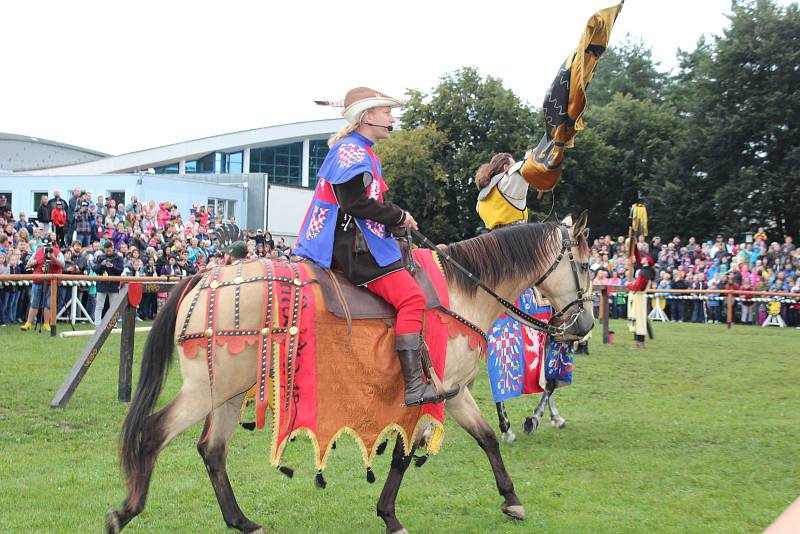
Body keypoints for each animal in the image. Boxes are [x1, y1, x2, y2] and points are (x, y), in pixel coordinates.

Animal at [108, 214, 592, 534]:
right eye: (586, 266)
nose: (584, 325)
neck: (462, 293)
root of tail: (206, 277)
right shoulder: (442, 391)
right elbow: (415, 453)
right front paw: (393, 516)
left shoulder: (450, 393)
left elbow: (478, 438)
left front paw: (509, 499)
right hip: (209, 387)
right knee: (154, 433)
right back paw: (125, 511)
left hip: (229, 389)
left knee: (212, 449)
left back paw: (241, 521)